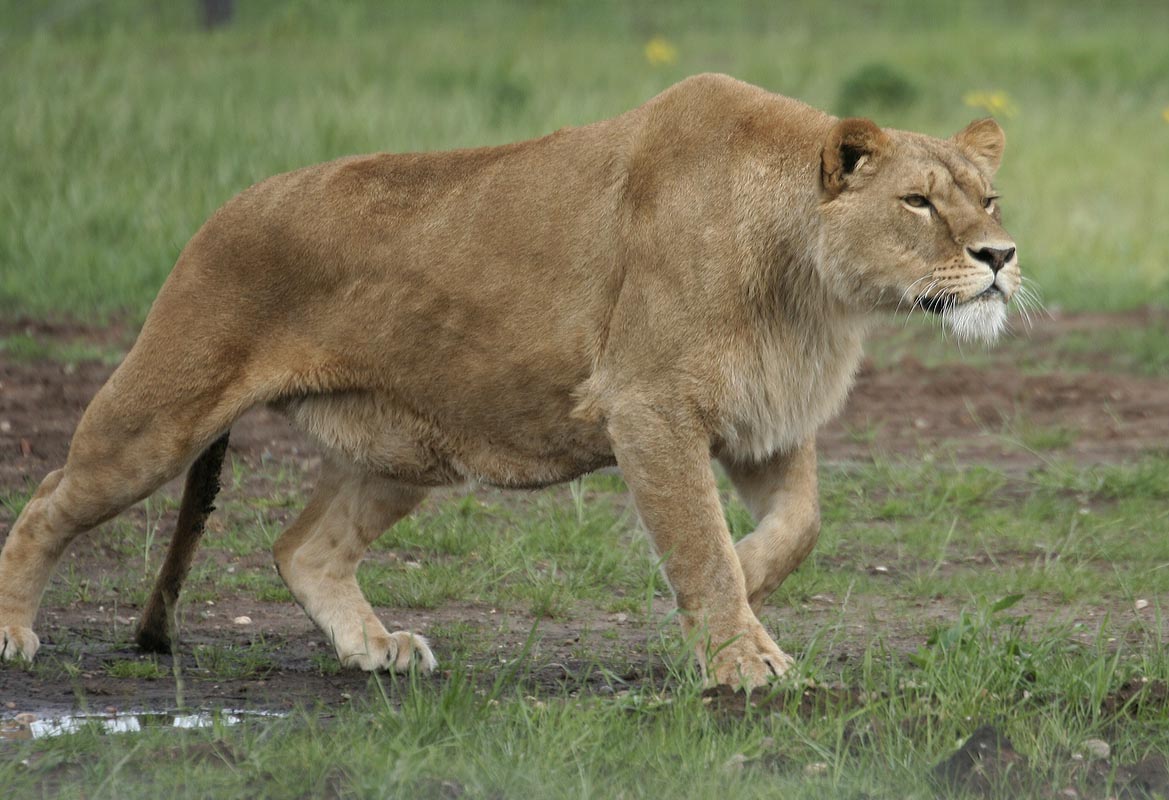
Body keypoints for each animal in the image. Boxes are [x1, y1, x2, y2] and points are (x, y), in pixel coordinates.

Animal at [0, 74, 1020, 689]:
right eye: (917, 202)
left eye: (988, 198)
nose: (1001, 256)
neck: (815, 290)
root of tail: (222, 210)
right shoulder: (647, 404)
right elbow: (695, 541)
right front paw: (739, 656)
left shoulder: (765, 422)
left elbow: (796, 528)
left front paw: (746, 590)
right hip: (158, 415)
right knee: (48, 497)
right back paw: (11, 632)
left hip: (403, 450)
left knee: (301, 546)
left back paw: (377, 648)